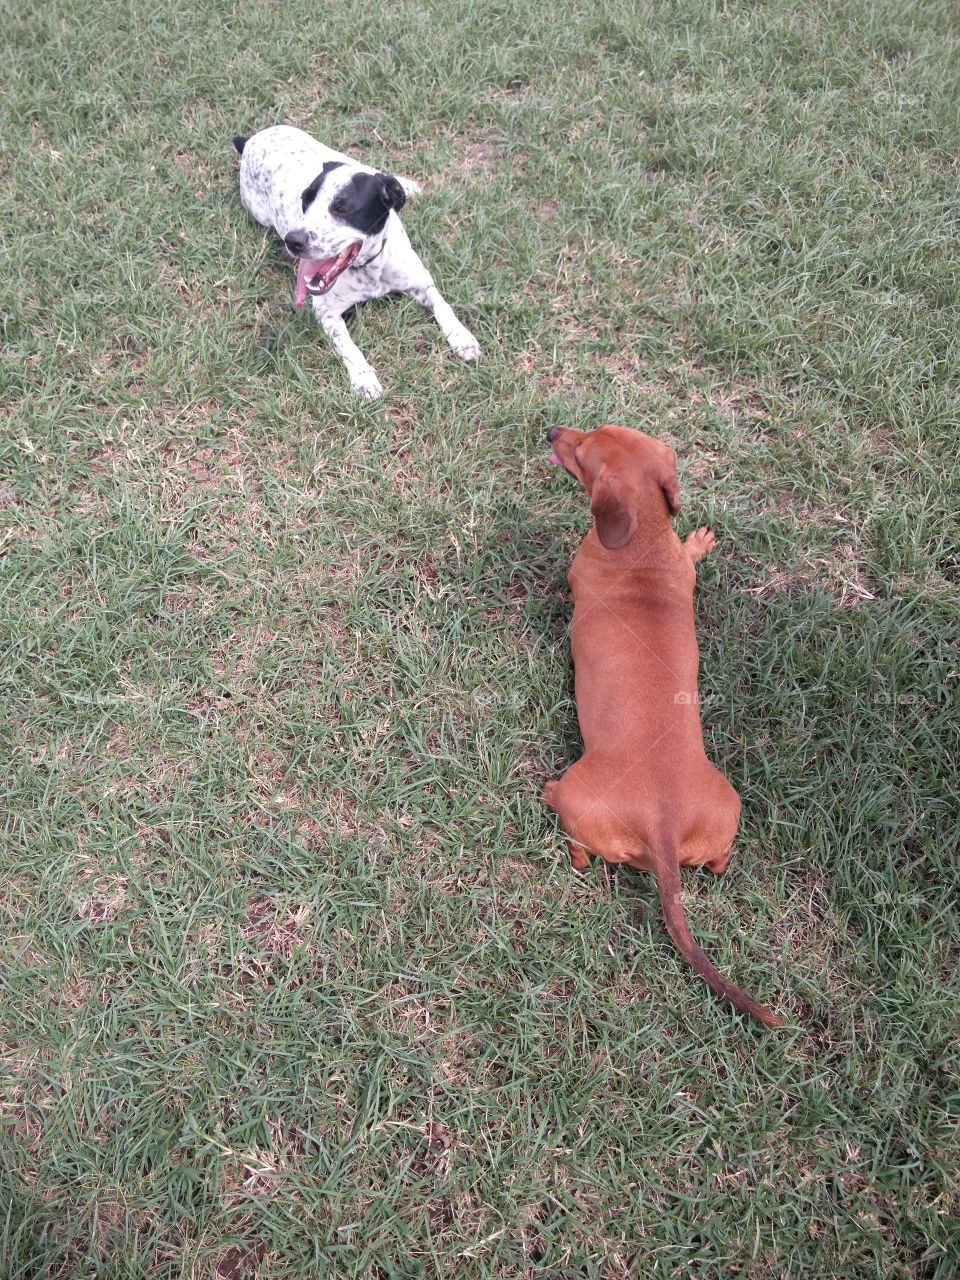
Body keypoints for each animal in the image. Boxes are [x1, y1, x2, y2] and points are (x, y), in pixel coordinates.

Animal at [234, 128, 481, 399]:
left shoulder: (420, 282)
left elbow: (443, 306)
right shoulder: (326, 312)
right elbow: (348, 346)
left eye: (341, 208)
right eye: (304, 201)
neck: (371, 269)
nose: (293, 240)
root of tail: (252, 139)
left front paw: (462, 337)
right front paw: (364, 378)